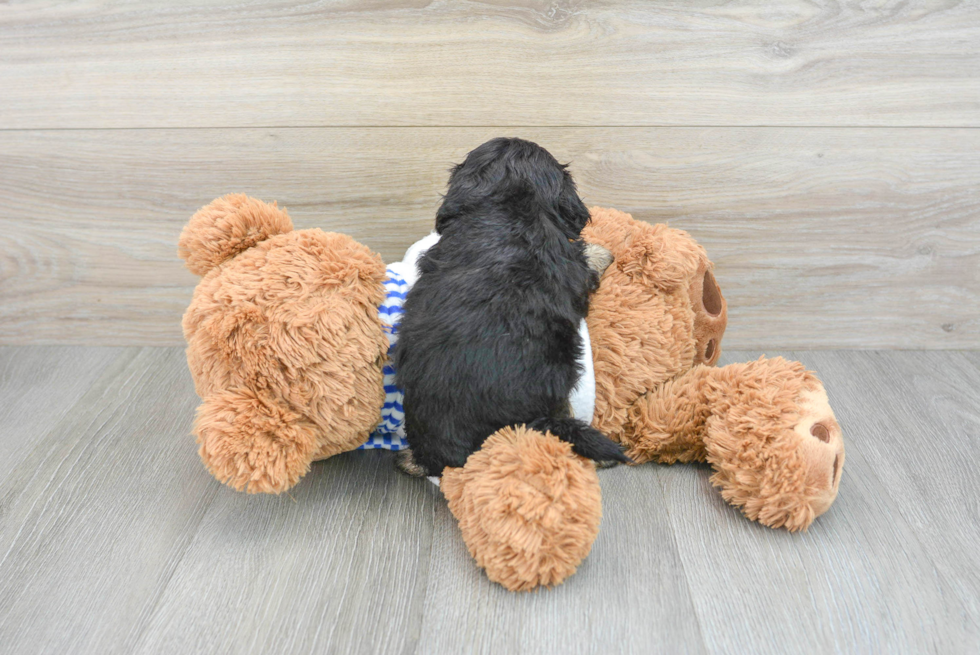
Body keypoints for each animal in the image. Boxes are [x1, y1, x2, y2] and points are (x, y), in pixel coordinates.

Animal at [392, 138, 628, 476]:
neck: (509, 206)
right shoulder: (574, 264)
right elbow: (588, 255)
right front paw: (604, 252)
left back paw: (409, 459)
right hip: (560, 380)